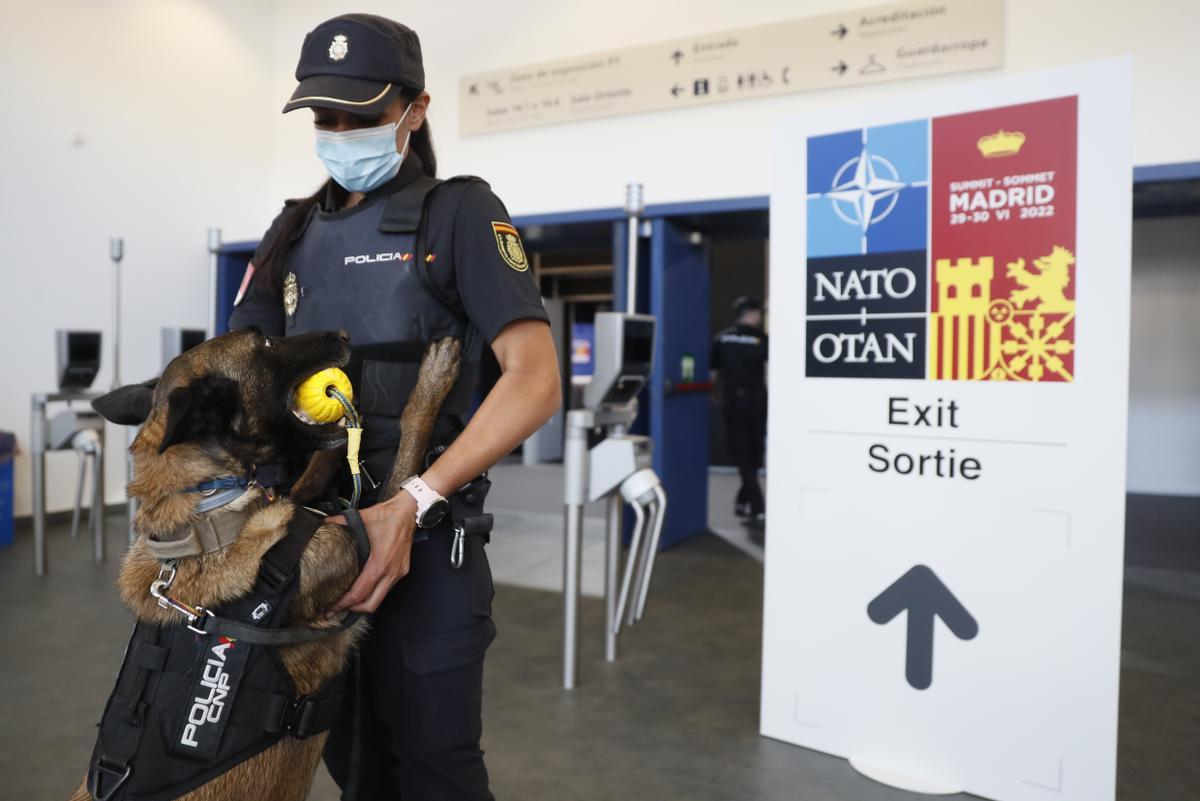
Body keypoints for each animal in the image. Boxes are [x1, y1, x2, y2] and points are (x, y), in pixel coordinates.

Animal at [71, 326, 463, 801]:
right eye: (267, 343)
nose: (343, 333)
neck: (207, 513)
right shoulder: (362, 541)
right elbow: (404, 460)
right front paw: (432, 382)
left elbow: (307, 479)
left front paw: (336, 442)